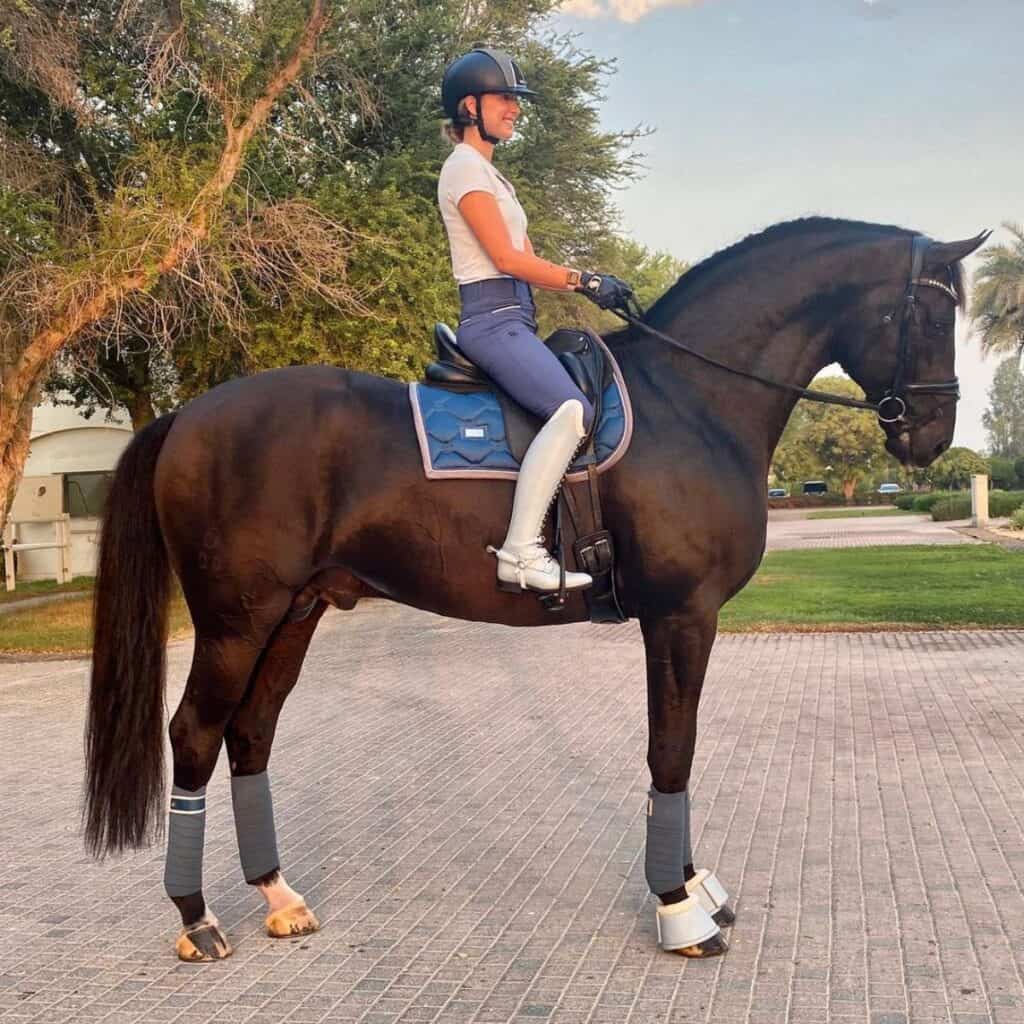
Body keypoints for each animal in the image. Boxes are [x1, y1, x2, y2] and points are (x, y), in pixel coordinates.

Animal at [83, 217, 986, 962]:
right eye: (929, 316)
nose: (933, 435)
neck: (692, 401)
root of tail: (187, 416)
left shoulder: (680, 620)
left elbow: (679, 745)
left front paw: (694, 884)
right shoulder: (681, 615)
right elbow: (672, 749)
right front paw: (678, 906)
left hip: (294, 614)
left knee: (251, 735)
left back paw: (277, 897)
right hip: (236, 622)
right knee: (196, 734)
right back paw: (196, 917)